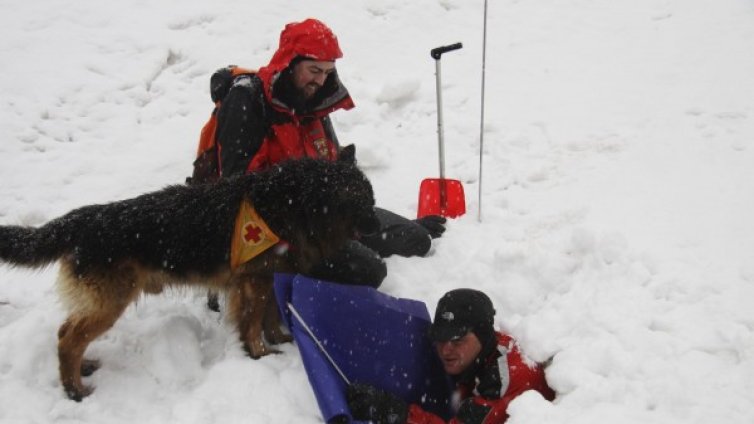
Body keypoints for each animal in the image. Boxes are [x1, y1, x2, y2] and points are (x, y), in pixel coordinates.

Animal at [0, 158, 376, 400]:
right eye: (365, 204)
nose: (380, 228)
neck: (294, 200)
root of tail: (82, 218)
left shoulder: (267, 276)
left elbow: (270, 317)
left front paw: (280, 340)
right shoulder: (254, 281)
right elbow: (253, 322)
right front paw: (258, 353)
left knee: (66, 332)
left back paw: (83, 369)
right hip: (111, 301)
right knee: (68, 340)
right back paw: (74, 389)